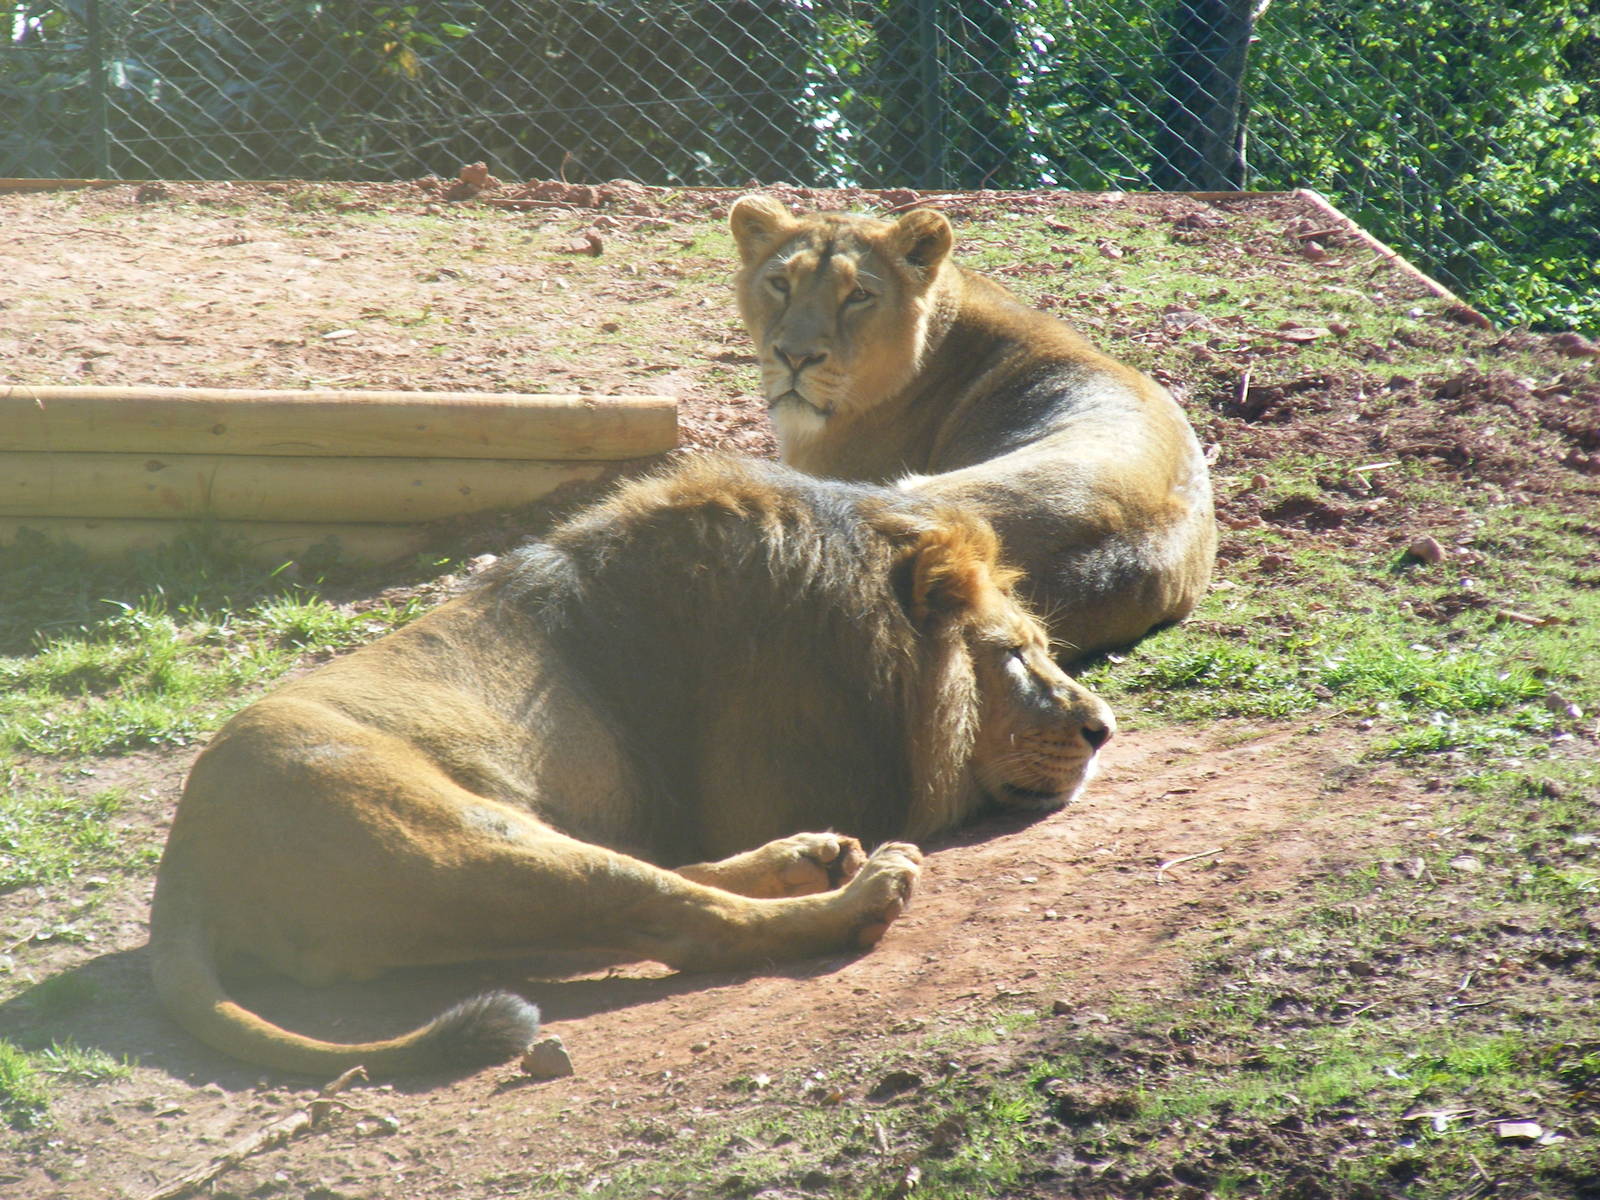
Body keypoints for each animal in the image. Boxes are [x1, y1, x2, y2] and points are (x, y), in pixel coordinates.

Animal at [149, 454, 1115, 1076]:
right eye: (1015, 655)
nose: (1104, 728)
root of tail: (182, 867)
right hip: (454, 835)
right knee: (686, 920)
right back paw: (863, 892)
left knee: (664, 879)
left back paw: (809, 856)